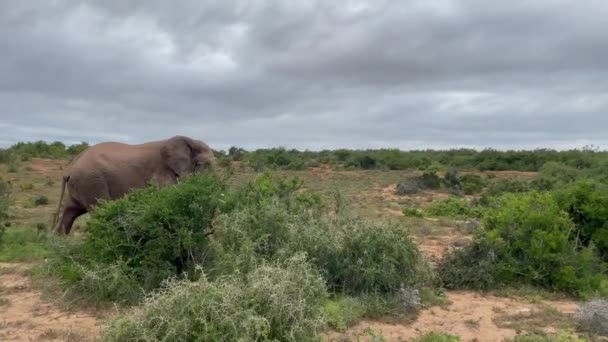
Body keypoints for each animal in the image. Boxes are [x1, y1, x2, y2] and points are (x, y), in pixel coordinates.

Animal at [51, 135, 216, 234]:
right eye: (203, 165)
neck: (189, 140)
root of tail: (70, 167)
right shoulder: (160, 173)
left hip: (82, 184)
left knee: (69, 213)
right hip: (91, 182)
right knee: (99, 212)